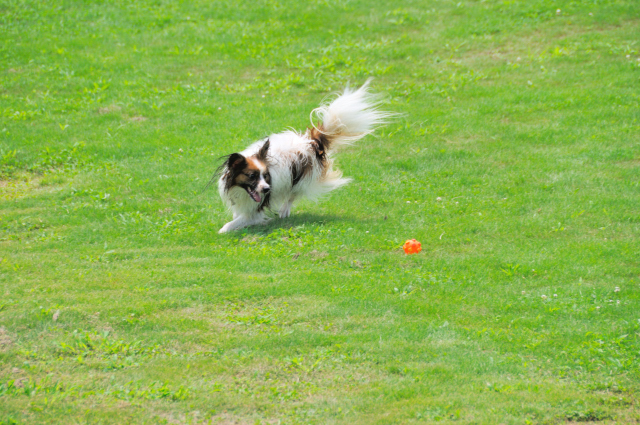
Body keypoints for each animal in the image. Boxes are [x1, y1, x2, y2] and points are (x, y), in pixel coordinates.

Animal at [216, 81, 390, 233]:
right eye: (252, 176)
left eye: (266, 176)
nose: (267, 189)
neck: (241, 190)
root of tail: (312, 142)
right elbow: (237, 214)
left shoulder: (256, 210)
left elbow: (238, 220)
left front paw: (224, 229)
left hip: (302, 179)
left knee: (293, 194)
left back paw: (284, 210)